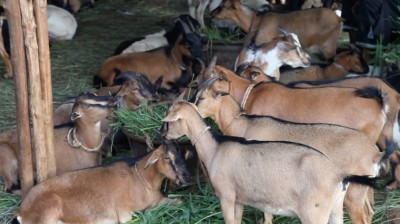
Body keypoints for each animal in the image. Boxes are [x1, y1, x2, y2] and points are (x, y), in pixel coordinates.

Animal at [13, 140, 191, 224]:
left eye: (183, 154)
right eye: (167, 157)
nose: (186, 177)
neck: (141, 178)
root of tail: (21, 211)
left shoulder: (159, 200)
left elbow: (180, 201)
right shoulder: (125, 214)